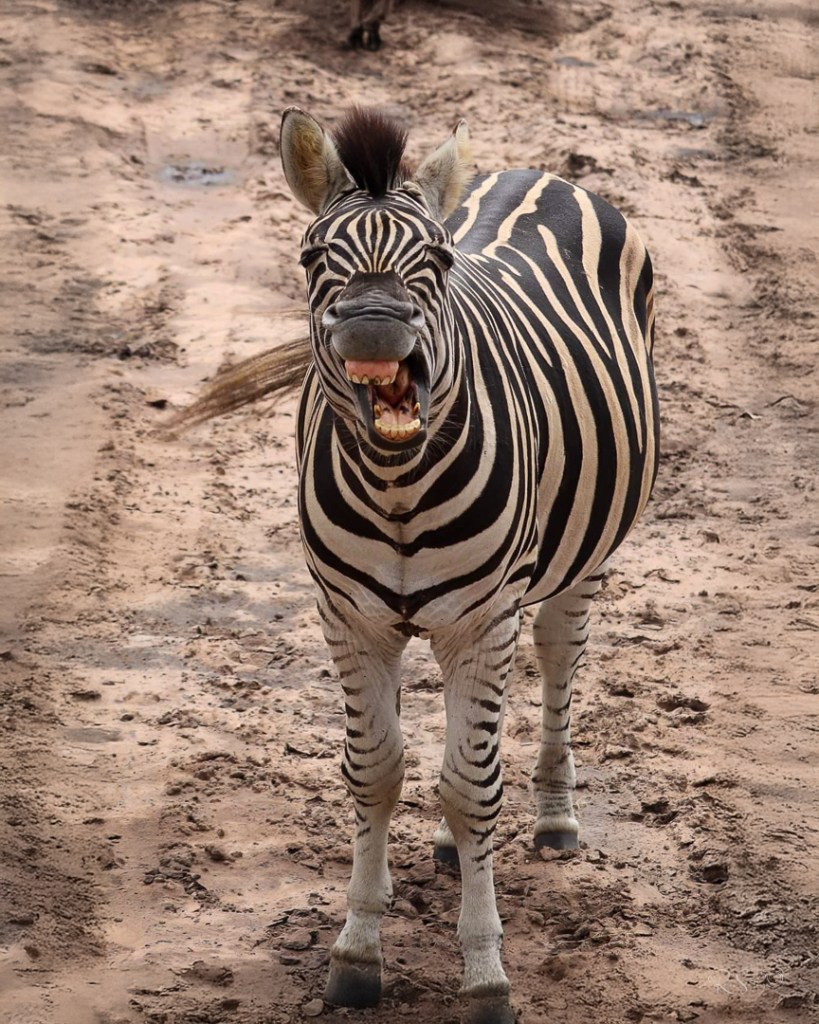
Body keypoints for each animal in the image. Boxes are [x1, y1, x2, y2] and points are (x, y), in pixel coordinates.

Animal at [180, 106, 658, 1023]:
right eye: (311, 259)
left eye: (434, 261)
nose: (374, 330)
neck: (396, 482)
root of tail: (539, 173)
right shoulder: (350, 618)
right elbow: (379, 773)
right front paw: (356, 952)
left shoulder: (485, 619)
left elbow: (473, 787)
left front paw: (485, 975)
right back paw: (445, 842)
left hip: (575, 565)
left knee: (556, 661)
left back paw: (553, 816)